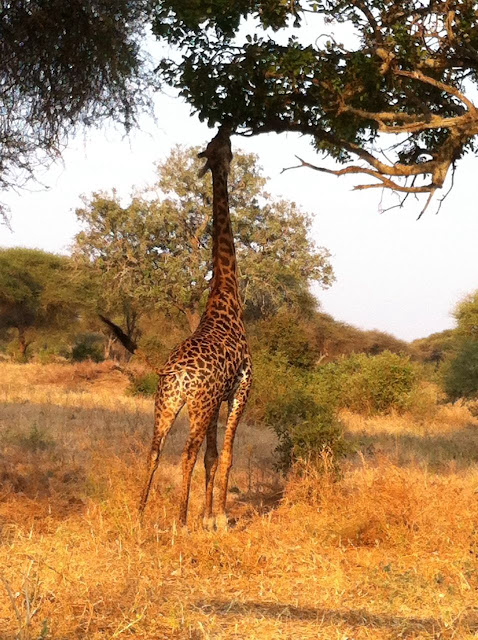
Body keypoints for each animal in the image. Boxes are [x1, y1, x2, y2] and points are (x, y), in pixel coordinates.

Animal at [138, 126, 252, 528]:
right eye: (224, 148)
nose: (227, 131)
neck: (226, 293)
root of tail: (178, 376)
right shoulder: (241, 389)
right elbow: (227, 456)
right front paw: (219, 518)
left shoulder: (218, 398)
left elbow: (212, 457)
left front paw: (208, 517)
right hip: (197, 406)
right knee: (184, 454)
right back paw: (180, 519)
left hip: (166, 402)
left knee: (153, 452)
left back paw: (139, 513)